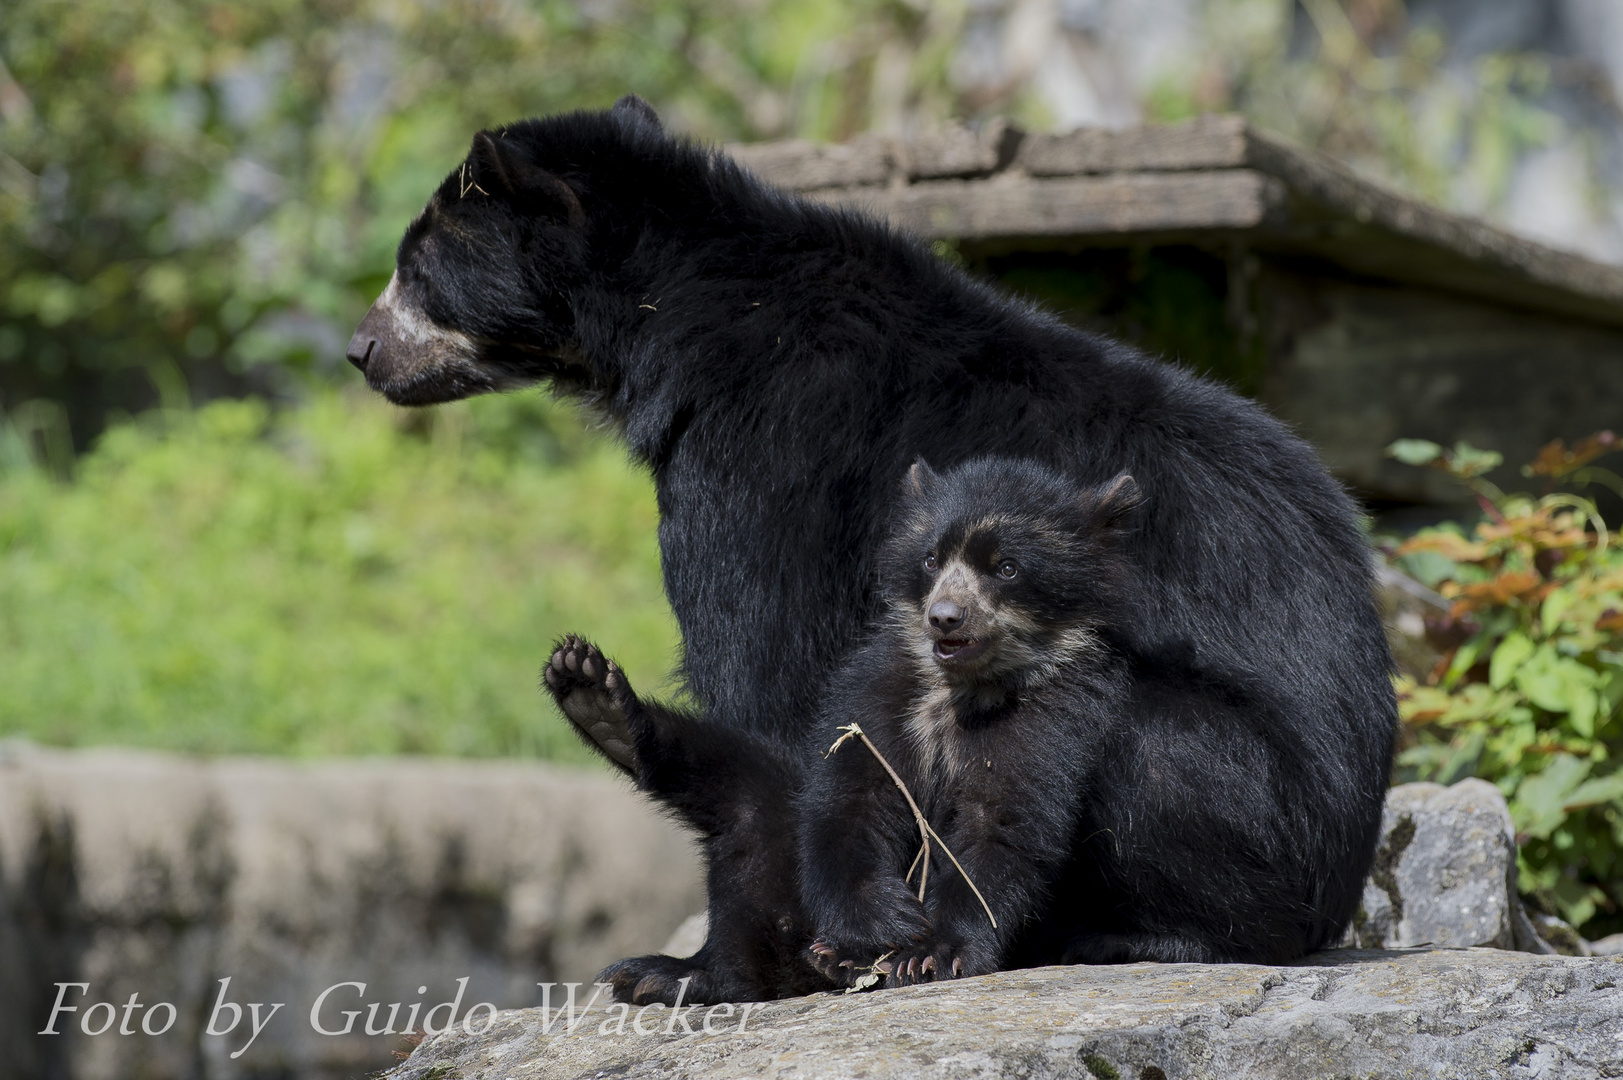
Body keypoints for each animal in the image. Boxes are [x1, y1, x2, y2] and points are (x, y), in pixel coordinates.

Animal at [352, 97, 1395, 1006]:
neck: (675, 324)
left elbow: (770, 686)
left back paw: (1137, 935)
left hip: (1253, 804)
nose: (361, 352)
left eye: (414, 268)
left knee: (1138, 746)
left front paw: (692, 972)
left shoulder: (758, 463)